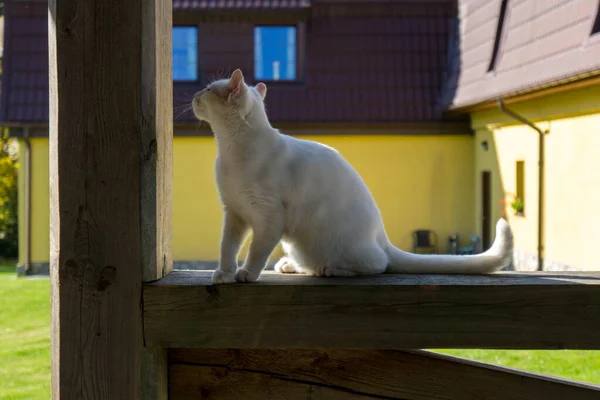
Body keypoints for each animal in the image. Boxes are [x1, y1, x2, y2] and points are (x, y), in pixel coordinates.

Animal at [192, 69, 510, 284]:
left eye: (207, 89)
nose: (195, 95)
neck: (231, 150)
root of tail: (381, 236)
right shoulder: (235, 213)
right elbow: (227, 247)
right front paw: (224, 273)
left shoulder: (269, 218)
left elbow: (256, 250)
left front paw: (246, 273)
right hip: (296, 242)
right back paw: (289, 265)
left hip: (337, 242)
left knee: (379, 264)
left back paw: (332, 269)